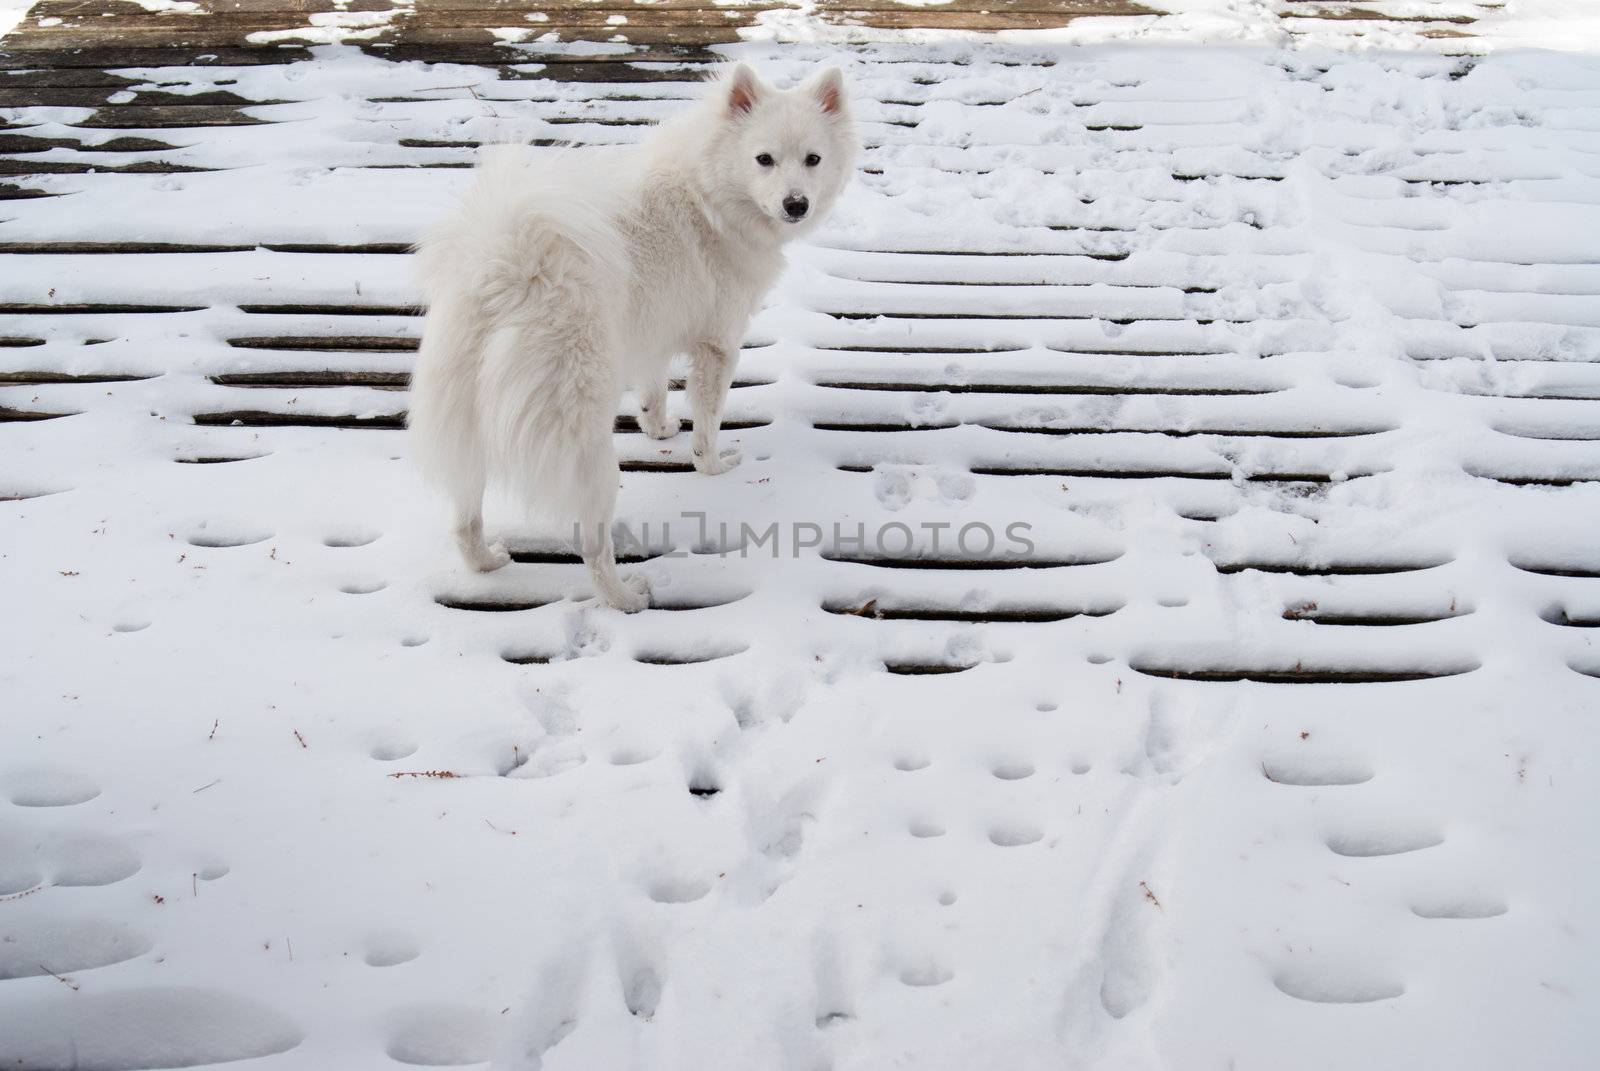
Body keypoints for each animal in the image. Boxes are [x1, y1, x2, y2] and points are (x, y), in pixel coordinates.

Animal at [412, 60, 857, 608]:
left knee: (464, 515)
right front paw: (713, 465)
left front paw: (657, 428)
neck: (707, 191)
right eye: (764, 160)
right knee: (592, 544)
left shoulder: (653, 331)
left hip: (466, 420)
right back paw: (625, 596)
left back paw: (487, 561)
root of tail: (504, 269)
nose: (796, 204)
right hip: (586, 445)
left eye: (813, 159)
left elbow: (654, 387)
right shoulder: (719, 343)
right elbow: (708, 421)